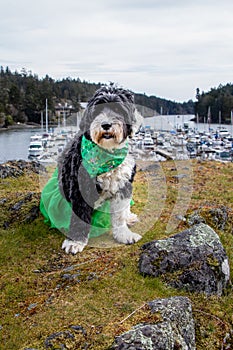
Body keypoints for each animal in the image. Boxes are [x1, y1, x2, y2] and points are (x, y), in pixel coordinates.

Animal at [57, 86, 143, 253]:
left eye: (118, 109)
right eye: (97, 110)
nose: (106, 124)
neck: (107, 154)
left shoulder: (123, 186)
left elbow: (119, 216)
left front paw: (124, 235)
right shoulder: (80, 188)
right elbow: (80, 215)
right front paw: (75, 241)